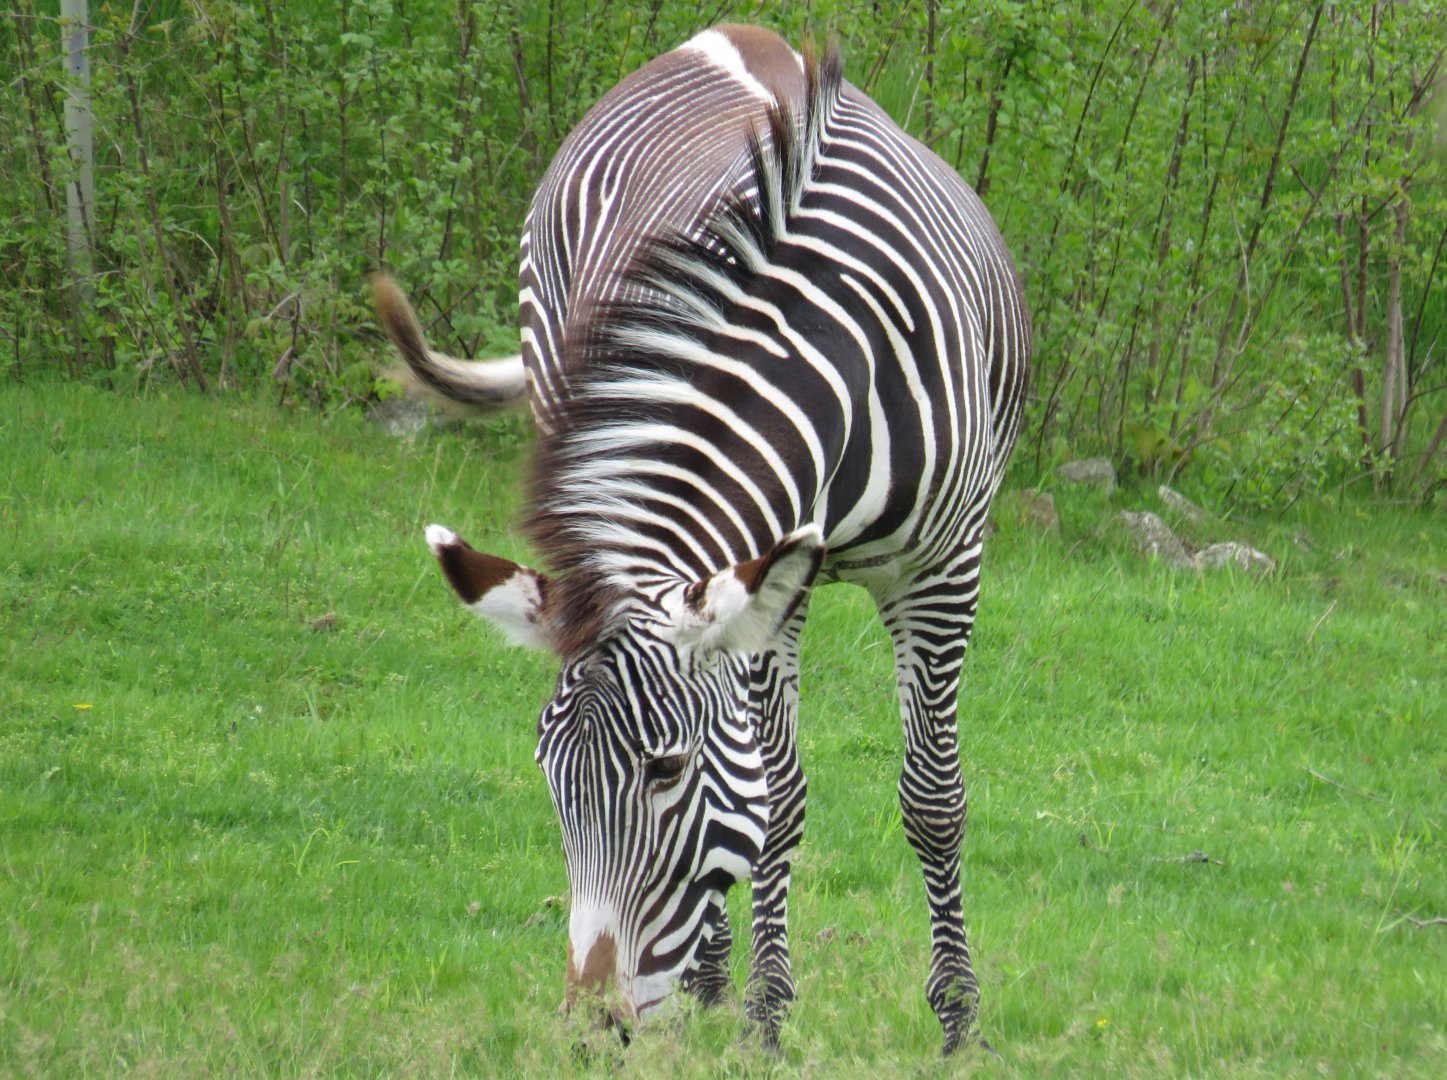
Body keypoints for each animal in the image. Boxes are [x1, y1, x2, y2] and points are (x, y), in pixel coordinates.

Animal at [373, 25, 1030, 1054]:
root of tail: (733, 35)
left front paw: (958, 1018)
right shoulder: (770, 582)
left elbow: (931, 796)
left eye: (666, 770)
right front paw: (762, 1012)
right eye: (548, 776)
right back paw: (712, 979)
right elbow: (776, 796)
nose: (591, 1030)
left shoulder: (942, 565)